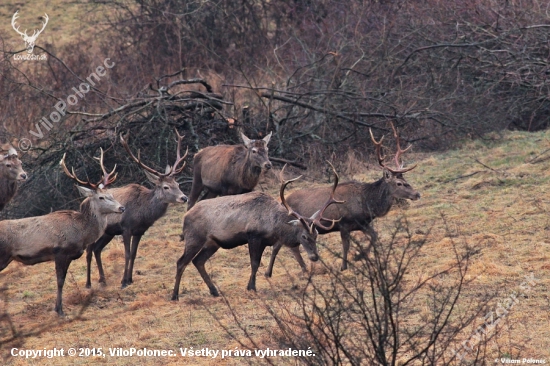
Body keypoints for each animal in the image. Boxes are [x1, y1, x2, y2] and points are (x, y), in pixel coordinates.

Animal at [0, 149, 124, 314]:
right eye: (101, 197)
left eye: (112, 194)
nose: (122, 207)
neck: (80, 232)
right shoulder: (59, 251)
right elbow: (59, 281)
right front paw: (59, 311)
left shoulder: (69, 255)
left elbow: (63, 279)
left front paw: (58, 308)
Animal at [85, 132, 190, 288]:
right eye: (165, 187)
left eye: (177, 184)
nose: (184, 198)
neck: (142, 214)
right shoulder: (126, 228)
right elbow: (127, 254)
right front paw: (123, 282)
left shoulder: (139, 231)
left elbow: (134, 254)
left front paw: (130, 279)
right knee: (89, 251)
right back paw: (88, 283)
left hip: (108, 233)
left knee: (97, 249)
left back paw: (102, 279)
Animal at [172, 164, 344, 298]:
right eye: (303, 236)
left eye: (316, 235)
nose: (315, 257)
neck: (273, 225)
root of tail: (185, 217)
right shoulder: (253, 236)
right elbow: (254, 263)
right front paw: (252, 287)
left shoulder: (265, 241)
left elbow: (258, 262)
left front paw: (251, 285)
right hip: (194, 238)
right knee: (181, 261)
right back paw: (175, 295)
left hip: (213, 243)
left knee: (198, 261)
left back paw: (214, 291)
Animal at [268, 122, 422, 274]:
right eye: (399, 183)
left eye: (405, 179)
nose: (417, 194)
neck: (366, 202)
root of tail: (280, 201)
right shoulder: (344, 224)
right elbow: (346, 245)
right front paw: (346, 264)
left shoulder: (362, 223)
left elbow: (374, 235)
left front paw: (360, 256)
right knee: (288, 246)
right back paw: (300, 269)